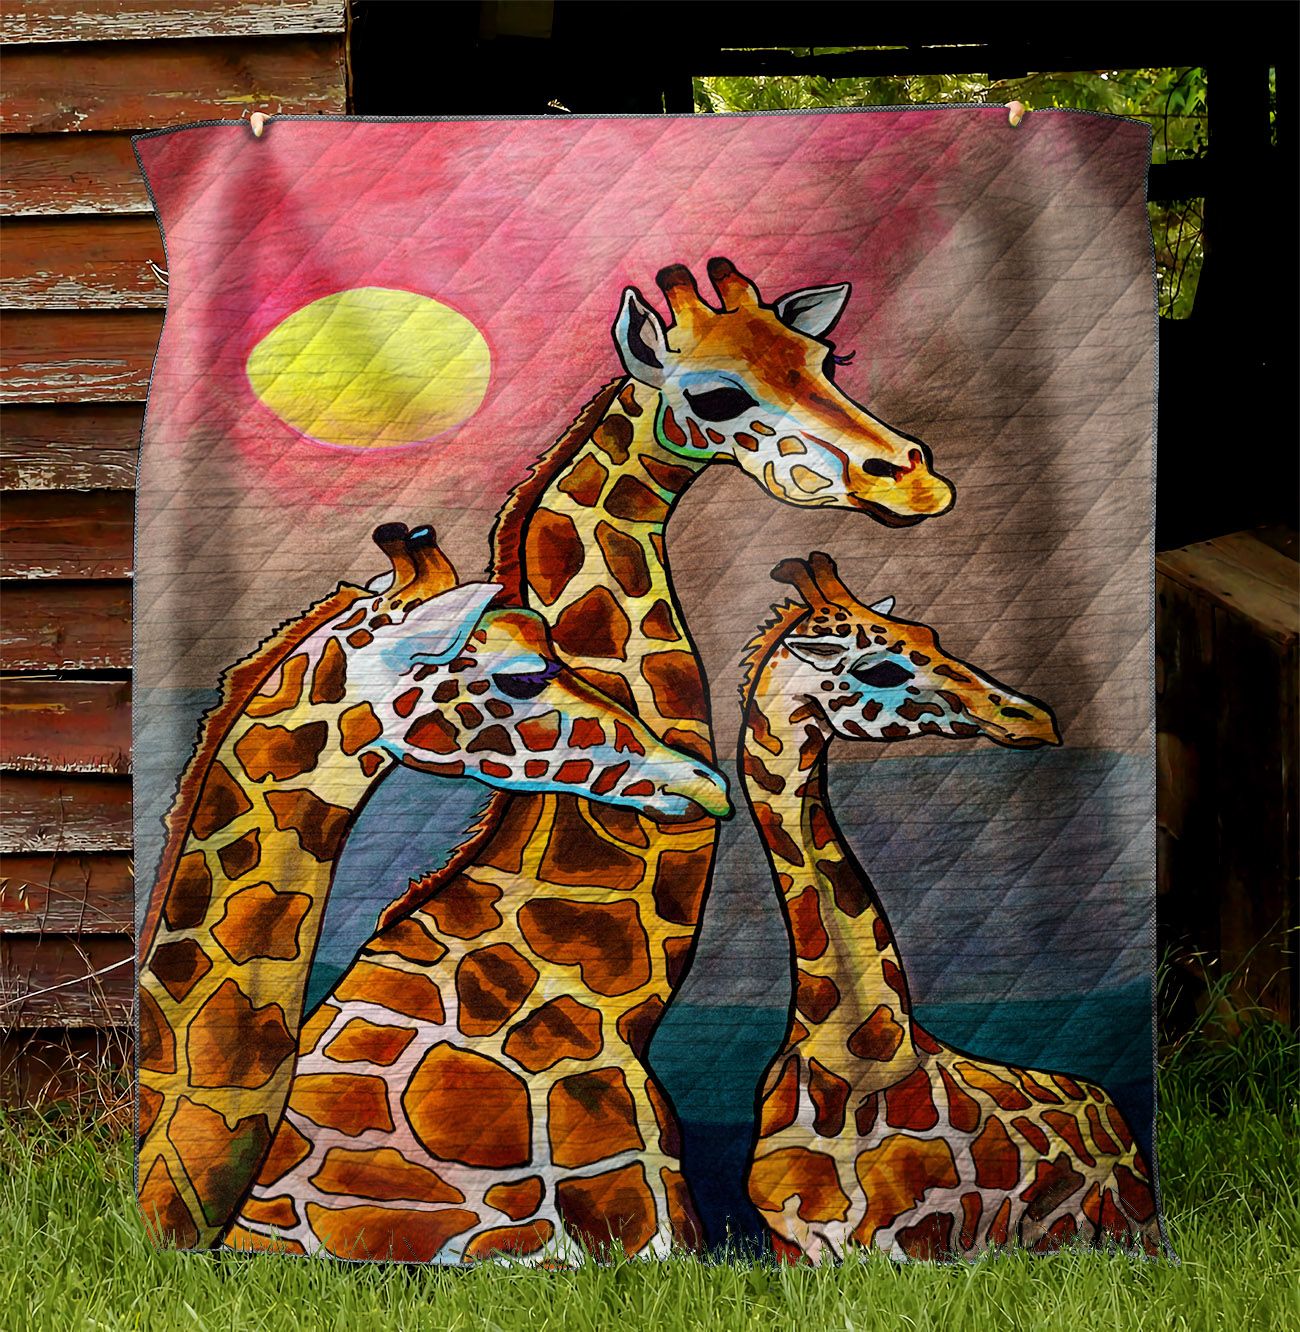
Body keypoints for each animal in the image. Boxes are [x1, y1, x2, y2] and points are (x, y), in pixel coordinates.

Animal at [737, 553, 1162, 1262]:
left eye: (932, 634)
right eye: (878, 668)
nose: (1035, 718)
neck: (852, 1056)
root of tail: (1113, 1109)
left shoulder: (912, 1245)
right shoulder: (791, 1246)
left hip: (1128, 1224)